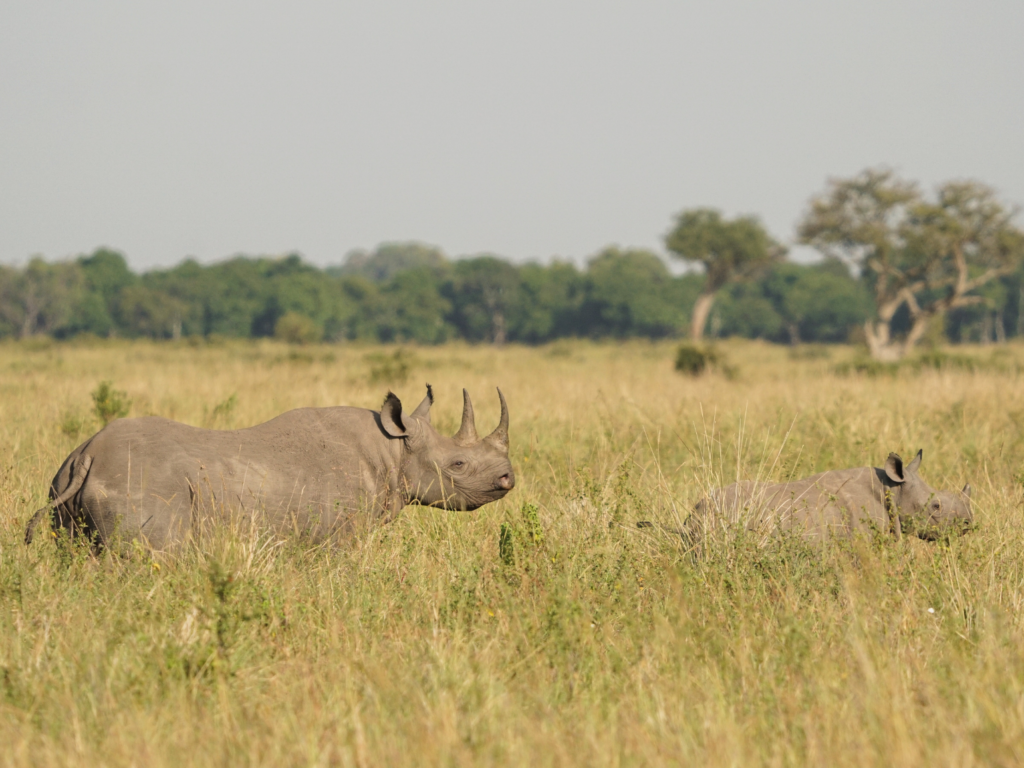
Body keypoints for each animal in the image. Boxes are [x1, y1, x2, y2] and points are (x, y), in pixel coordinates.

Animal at [24, 387, 516, 548]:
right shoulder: (336, 538)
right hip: (141, 482)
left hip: (63, 481)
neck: (394, 452)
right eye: (458, 463)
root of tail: (87, 454)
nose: (508, 478)